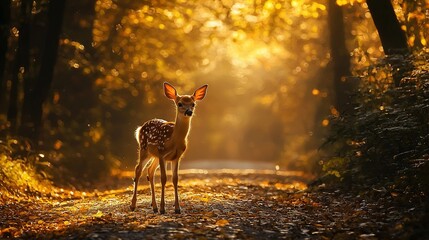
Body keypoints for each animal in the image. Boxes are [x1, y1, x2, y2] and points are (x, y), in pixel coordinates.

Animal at [130, 81, 208, 213]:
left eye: (193, 104)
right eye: (180, 103)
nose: (189, 112)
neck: (173, 140)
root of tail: (140, 128)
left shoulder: (176, 157)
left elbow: (175, 179)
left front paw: (177, 208)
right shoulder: (162, 154)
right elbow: (163, 178)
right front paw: (163, 209)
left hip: (154, 155)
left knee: (150, 171)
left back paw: (154, 207)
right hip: (144, 149)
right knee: (138, 170)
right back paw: (133, 205)